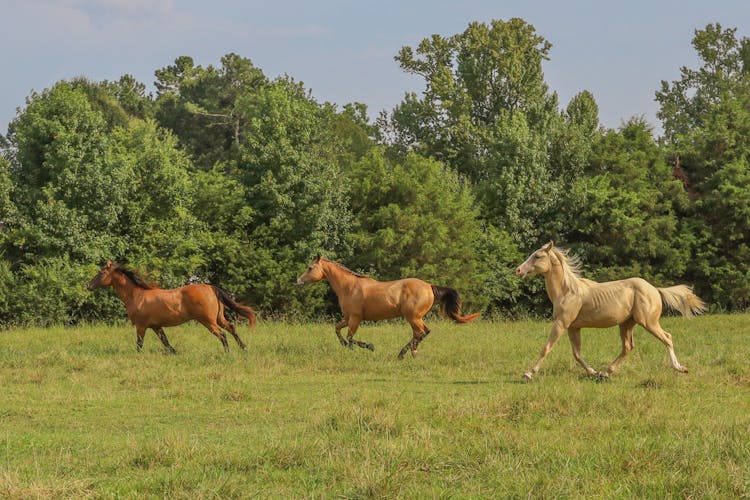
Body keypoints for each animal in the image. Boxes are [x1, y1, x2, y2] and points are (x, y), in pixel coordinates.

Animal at [87, 260, 258, 354]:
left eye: (101, 272)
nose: (88, 285)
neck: (137, 295)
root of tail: (211, 288)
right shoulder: (156, 326)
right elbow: (166, 342)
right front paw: (175, 352)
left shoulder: (141, 326)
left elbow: (139, 344)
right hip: (219, 318)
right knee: (232, 328)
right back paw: (244, 348)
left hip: (208, 321)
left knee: (222, 335)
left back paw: (227, 352)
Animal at [296, 256, 478, 358]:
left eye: (310, 268)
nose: (298, 281)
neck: (349, 286)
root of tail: (429, 286)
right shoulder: (347, 318)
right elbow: (337, 330)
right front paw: (346, 347)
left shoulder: (355, 318)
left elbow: (350, 337)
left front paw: (368, 347)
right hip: (415, 318)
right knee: (421, 333)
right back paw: (411, 353)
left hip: (412, 317)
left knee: (421, 333)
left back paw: (404, 353)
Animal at [516, 241, 708, 378]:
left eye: (537, 256)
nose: (518, 270)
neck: (567, 291)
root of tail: (655, 289)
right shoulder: (573, 327)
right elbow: (577, 354)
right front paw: (593, 372)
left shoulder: (561, 323)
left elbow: (546, 347)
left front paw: (528, 373)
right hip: (627, 324)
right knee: (628, 347)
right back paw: (605, 373)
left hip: (648, 322)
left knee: (667, 338)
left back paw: (680, 368)